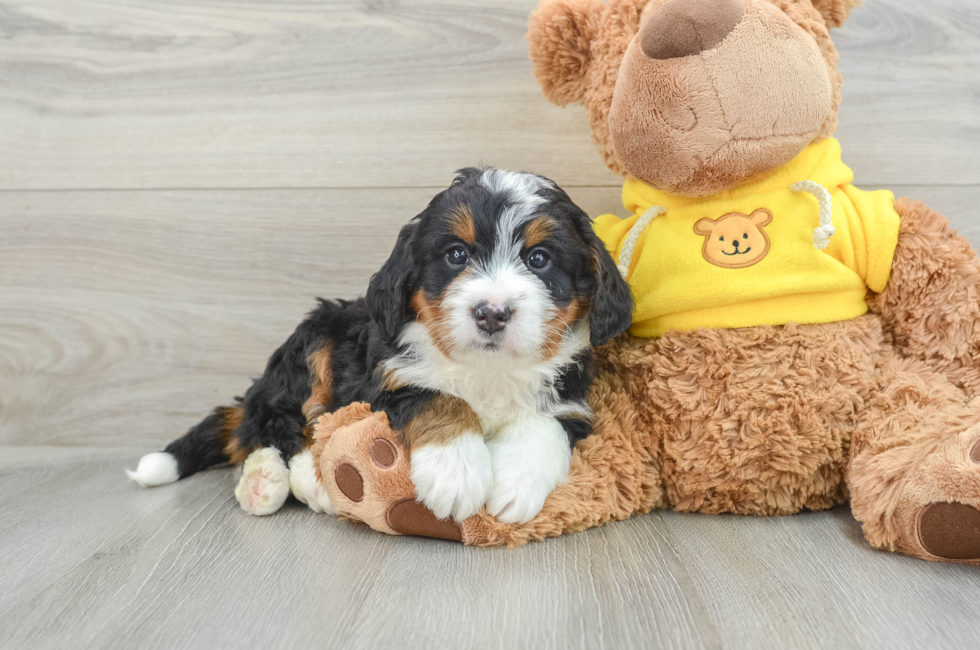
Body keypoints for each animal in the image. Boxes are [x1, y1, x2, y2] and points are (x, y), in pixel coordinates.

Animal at [126, 167, 632, 520]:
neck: (486, 370)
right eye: (456, 254)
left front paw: (516, 485)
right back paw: (288, 480)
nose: (491, 312)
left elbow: (545, 427)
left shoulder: (569, 400)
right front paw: (456, 473)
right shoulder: (383, 380)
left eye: (539, 259)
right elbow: (441, 398)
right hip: (315, 340)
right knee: (280, 424)